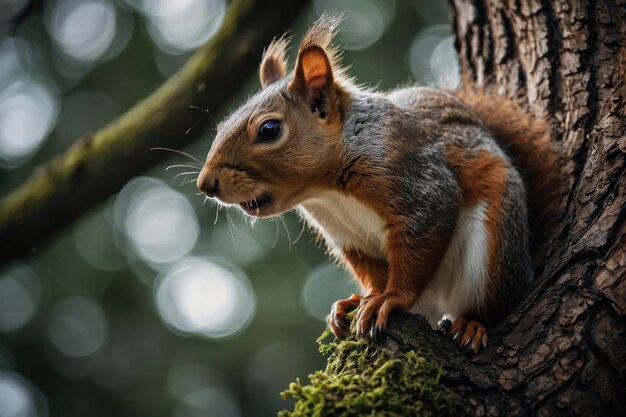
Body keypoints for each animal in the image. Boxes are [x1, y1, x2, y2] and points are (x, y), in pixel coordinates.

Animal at [195, 16, 556, 354]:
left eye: (269, 130)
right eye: (221, 126)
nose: (205, 184)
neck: (326, 192)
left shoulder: (417, 184)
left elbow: (420, 239)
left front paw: (390, 298)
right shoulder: (351, 238)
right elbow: (371, 271)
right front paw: (358, 300)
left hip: (495, 244)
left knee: (494, 302)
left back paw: (471, 324)